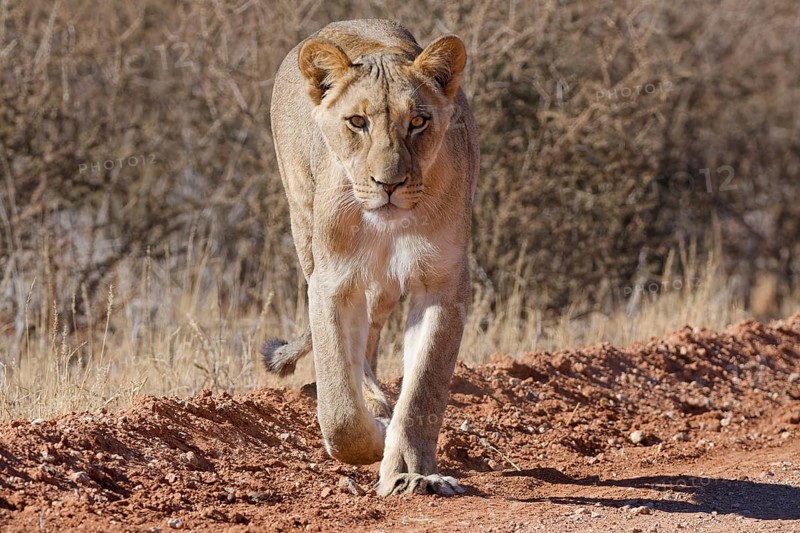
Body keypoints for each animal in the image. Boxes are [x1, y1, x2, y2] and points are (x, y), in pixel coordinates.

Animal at [264, 19, 479, 496]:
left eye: (417, 121)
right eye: (357, 122)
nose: (389, 184)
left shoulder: (443, 282)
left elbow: (424, 386)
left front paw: (410, 470)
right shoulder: (331, 281)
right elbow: (339, 410)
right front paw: (377, 435)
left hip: (383, 284)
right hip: (303, 224)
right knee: (356, 354)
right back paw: (376, 405)